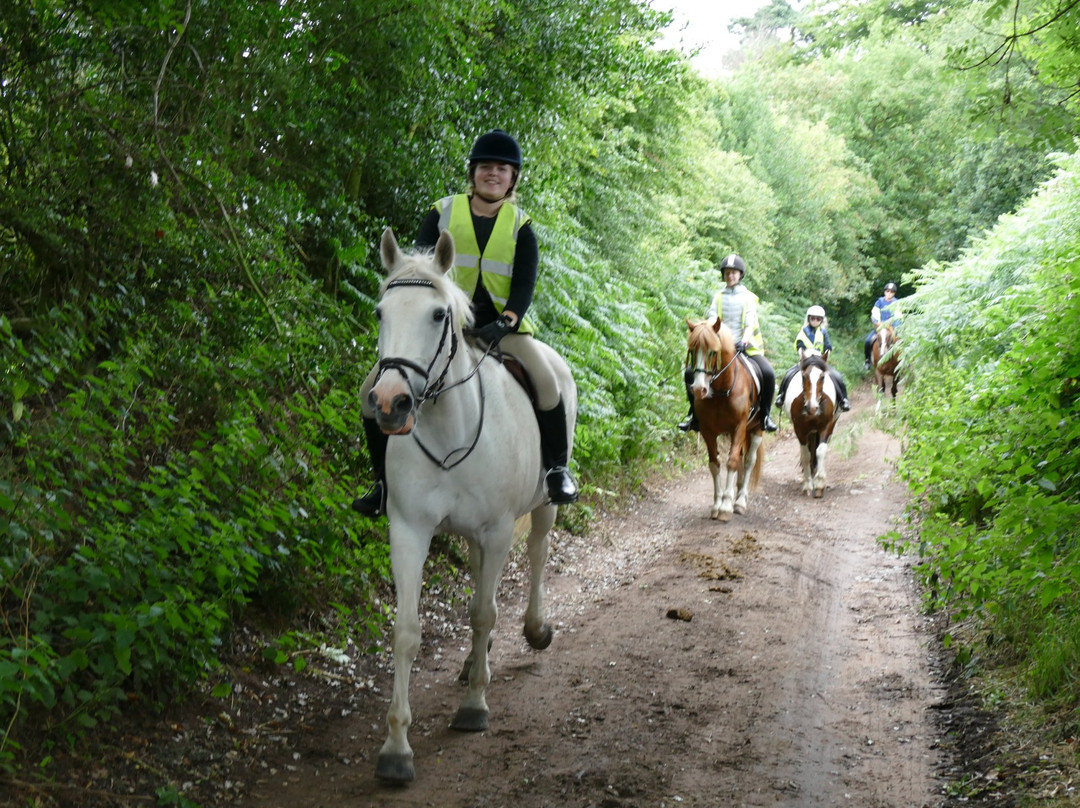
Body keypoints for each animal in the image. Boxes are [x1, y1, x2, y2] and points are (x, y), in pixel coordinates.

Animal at [369, 226, 574, 782]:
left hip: (543, 507)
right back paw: (470, 665)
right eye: (381, 312)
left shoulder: (499, 529)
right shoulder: (409, 530)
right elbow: (407, 631)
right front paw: (396, 747)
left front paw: (475, 707)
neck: (448, 428)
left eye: (439, 314)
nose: (389, 403)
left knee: (537, 555)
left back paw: (532, 631)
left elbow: (483, 612)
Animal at [686, 319, 764, 520]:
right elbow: (715, 464)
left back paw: (740, 501)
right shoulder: (707, 431)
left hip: (756, 429)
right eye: (692, 350)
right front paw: (716, 505)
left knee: (749, 460)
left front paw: (726, 506)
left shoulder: (739, 427)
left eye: (713, 351)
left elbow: (732, 462)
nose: (699, 389)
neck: (721, 392)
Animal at [781, 354, 838, 499]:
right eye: (804, 376)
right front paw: (807, 484)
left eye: (822, 377)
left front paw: (819, 485)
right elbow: (805, 455)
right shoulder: (800, 430)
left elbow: (820, 451)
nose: (812, 408)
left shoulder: (826, 426)